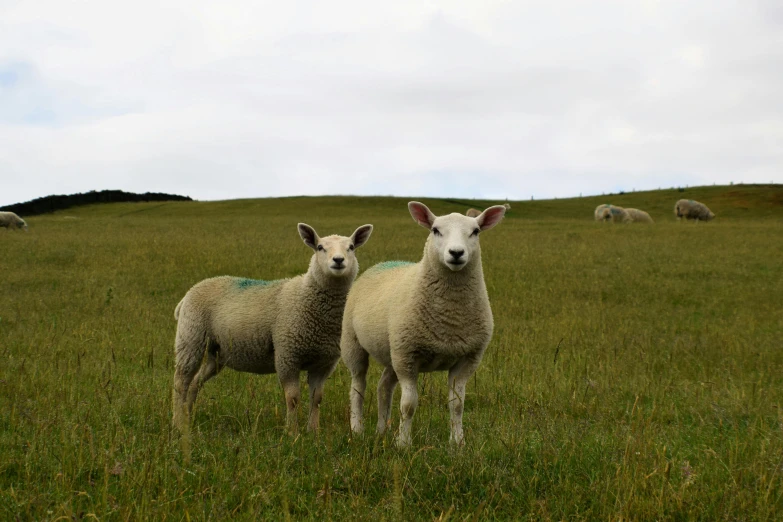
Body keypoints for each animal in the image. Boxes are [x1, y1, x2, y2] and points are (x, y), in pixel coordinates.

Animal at [173, 221, 376, 432]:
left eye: (351, 247)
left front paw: (313, 432)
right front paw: (292, 432)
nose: (338, 260)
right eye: (320, 247)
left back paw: (187, 418)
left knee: (195, 383)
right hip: (191, 338)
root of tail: (188, 293)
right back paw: (178, 423)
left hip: (217, 352)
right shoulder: (287, 355)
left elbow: (317, 398)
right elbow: (293, 398)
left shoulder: (324, 363)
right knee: (181, 382)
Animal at [344, 201, 508, 444]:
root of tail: (383, 263)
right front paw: (403, 443)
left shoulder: (467, 359)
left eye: (476, 231)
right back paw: (357, 429)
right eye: (435, 230)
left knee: (383, 387)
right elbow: (408, 405)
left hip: (393, 351)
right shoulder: (407, 357)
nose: (456, 253)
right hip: (353, 343)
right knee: (357, 387)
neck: (450, 318)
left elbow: (457, 405)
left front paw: (457, 442)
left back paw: (381, 430)